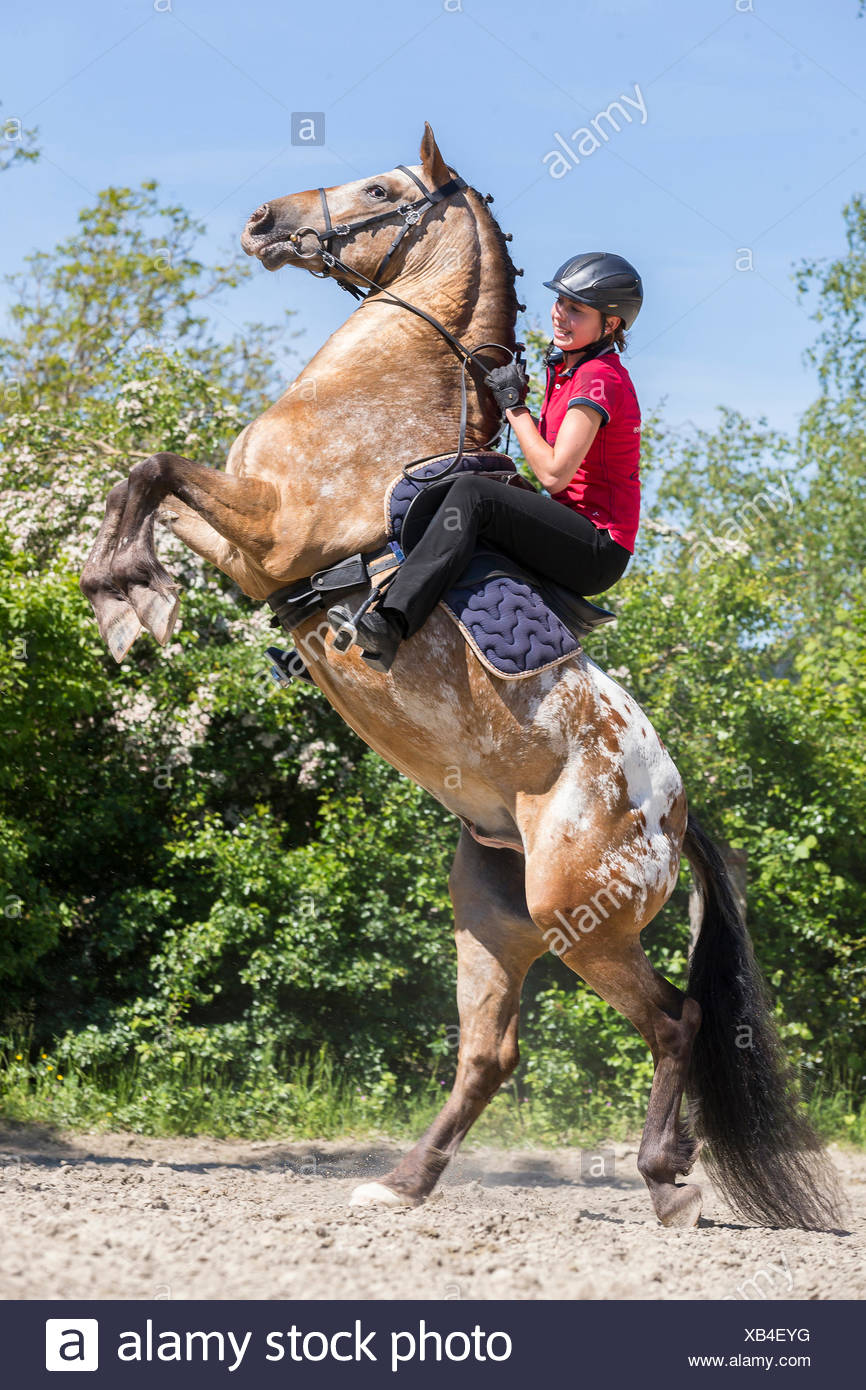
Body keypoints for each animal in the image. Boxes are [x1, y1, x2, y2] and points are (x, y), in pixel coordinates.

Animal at [80, 123, 841, 1231]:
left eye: (380, 188)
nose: (262, 220)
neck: (381, 392)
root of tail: (674, 810)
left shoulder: (275, 533)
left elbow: (152, 467)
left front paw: (125, 595)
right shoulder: (249, 542)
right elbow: (145, 477)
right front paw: (132, 596)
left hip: (580, 919)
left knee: (674, 1020)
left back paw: (667, 1179)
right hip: (491, 912)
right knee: (490, 1054)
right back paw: (401, 1183)